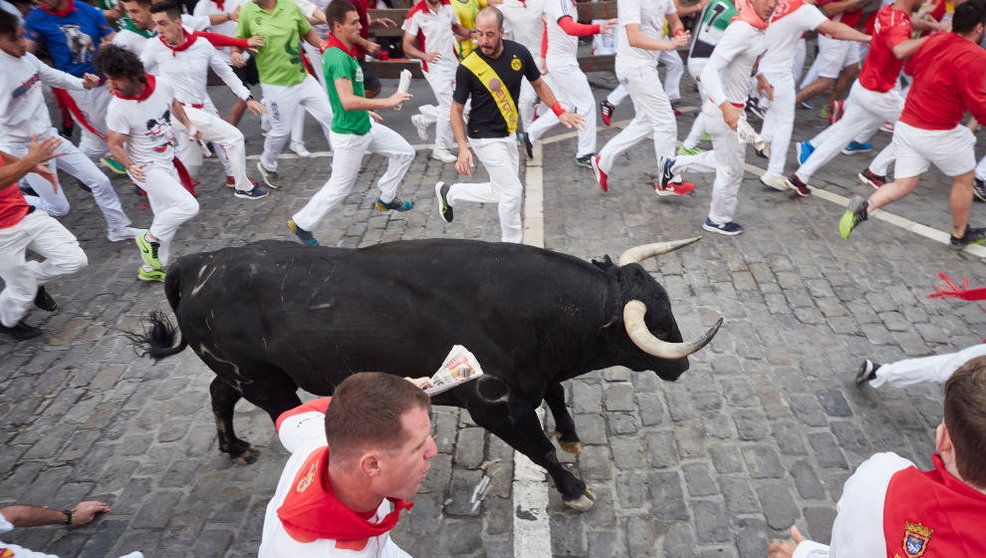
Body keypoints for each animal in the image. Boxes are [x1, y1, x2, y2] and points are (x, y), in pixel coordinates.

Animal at [131, 238, 720, 510]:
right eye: (656, 320)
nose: (684, 363)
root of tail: (199, 263)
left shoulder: (533, 380)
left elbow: (557, 396)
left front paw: (571, 436)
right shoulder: (496, 406)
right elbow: (538, 447)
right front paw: (574, 489)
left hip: (243, 372)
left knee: (218, 393)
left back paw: (234, 448)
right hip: (266, 382)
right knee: (275, 416)